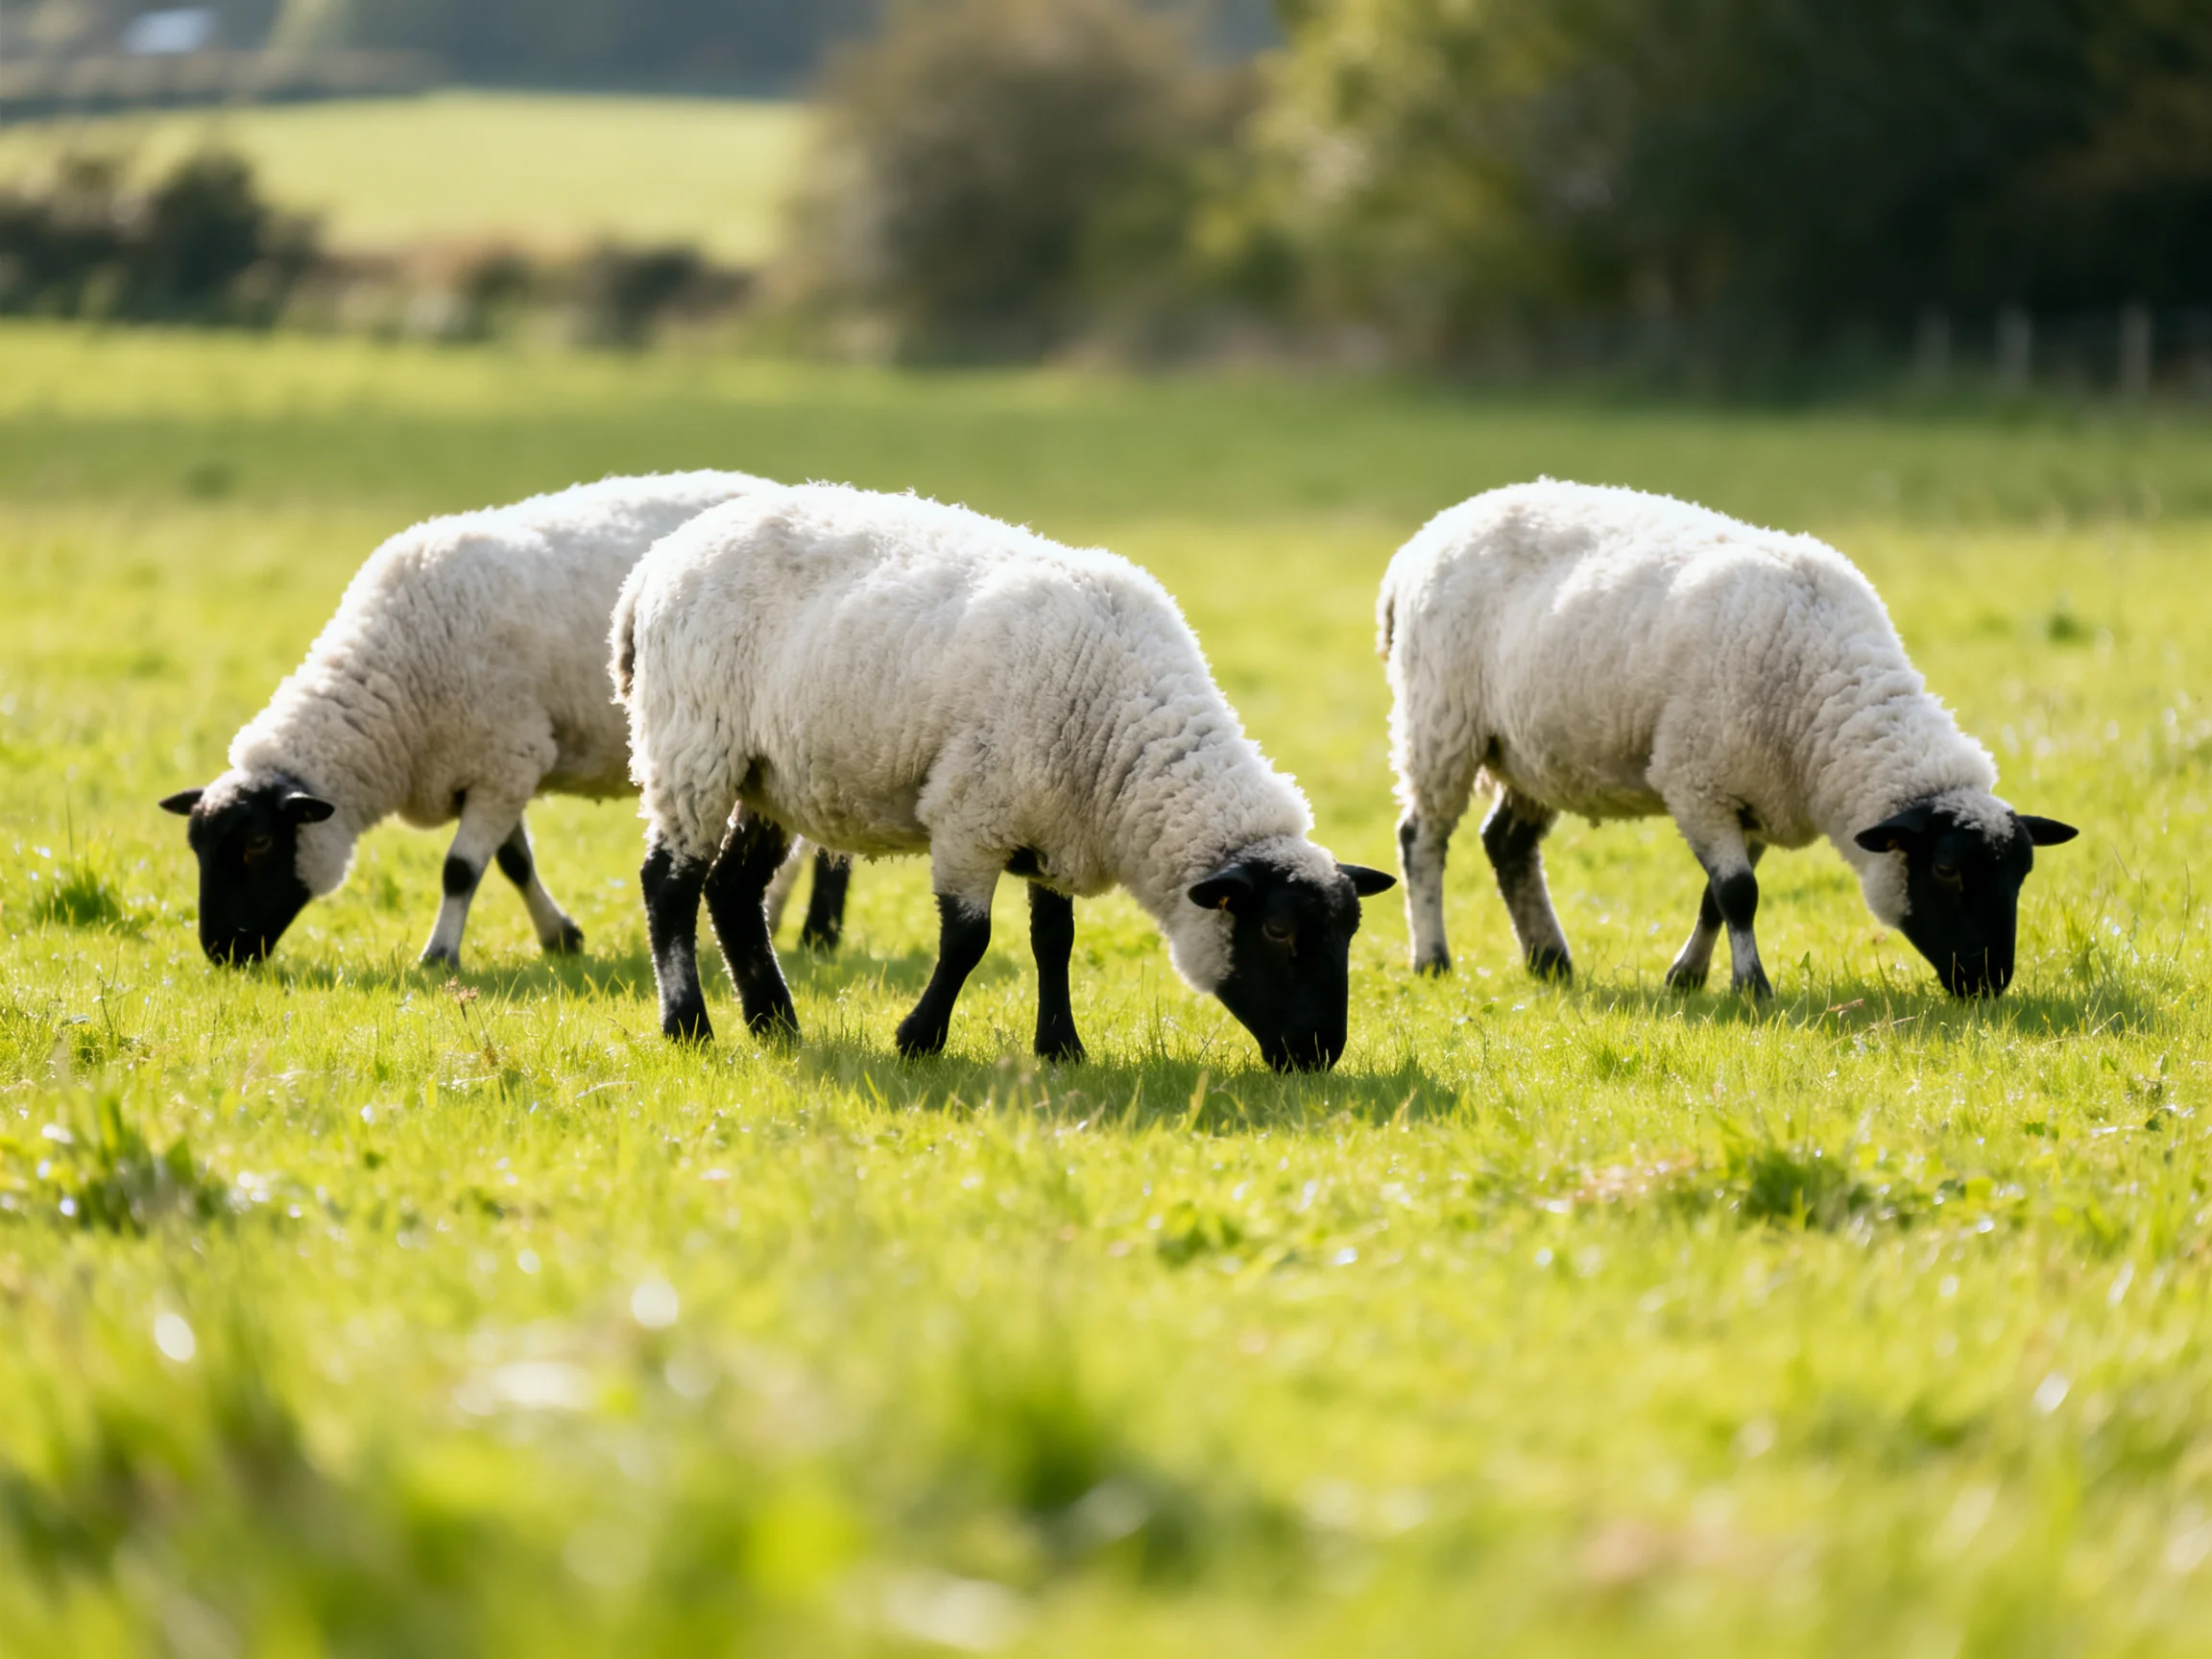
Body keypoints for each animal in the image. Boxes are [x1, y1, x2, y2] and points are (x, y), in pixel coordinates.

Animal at [159, 471, 850, 967]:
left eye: (257, 844)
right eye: (195, 847)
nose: (220, 953)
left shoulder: (505, 757)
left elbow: (460, 870)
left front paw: (439, 956)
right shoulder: (497, 766)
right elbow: (513, 863)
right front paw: (560, 937)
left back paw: (813, 930)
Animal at [612, 484, 1396, 1072]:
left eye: (1350, 932)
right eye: (1276, 931)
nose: (1319, 1055)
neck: (1124, 736)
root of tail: (653, 566)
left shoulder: (1054, 829)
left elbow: (1055, 942)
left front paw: (1061, 1048)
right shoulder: (972, 817)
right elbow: (968, 941)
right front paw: (918, 1040)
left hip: (769, 775)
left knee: (733, 888)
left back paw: (776, 1023)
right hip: (691, 744)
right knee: (671, 883)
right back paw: (689, 1025)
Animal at [1378, 480, 2076, 999]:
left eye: (2022, 873)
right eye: (1945, 869)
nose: (1989, 983)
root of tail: (1422, 540)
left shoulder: (1758, 801)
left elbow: (1716, 899)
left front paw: (1687, 977)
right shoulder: (1698, 782)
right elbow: (1740, 895)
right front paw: (1751, 987)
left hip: (1534, 751)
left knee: (1508, 845)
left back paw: (1549, 959)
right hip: (1440, 723)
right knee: (1422, 839)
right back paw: (1433, 958)